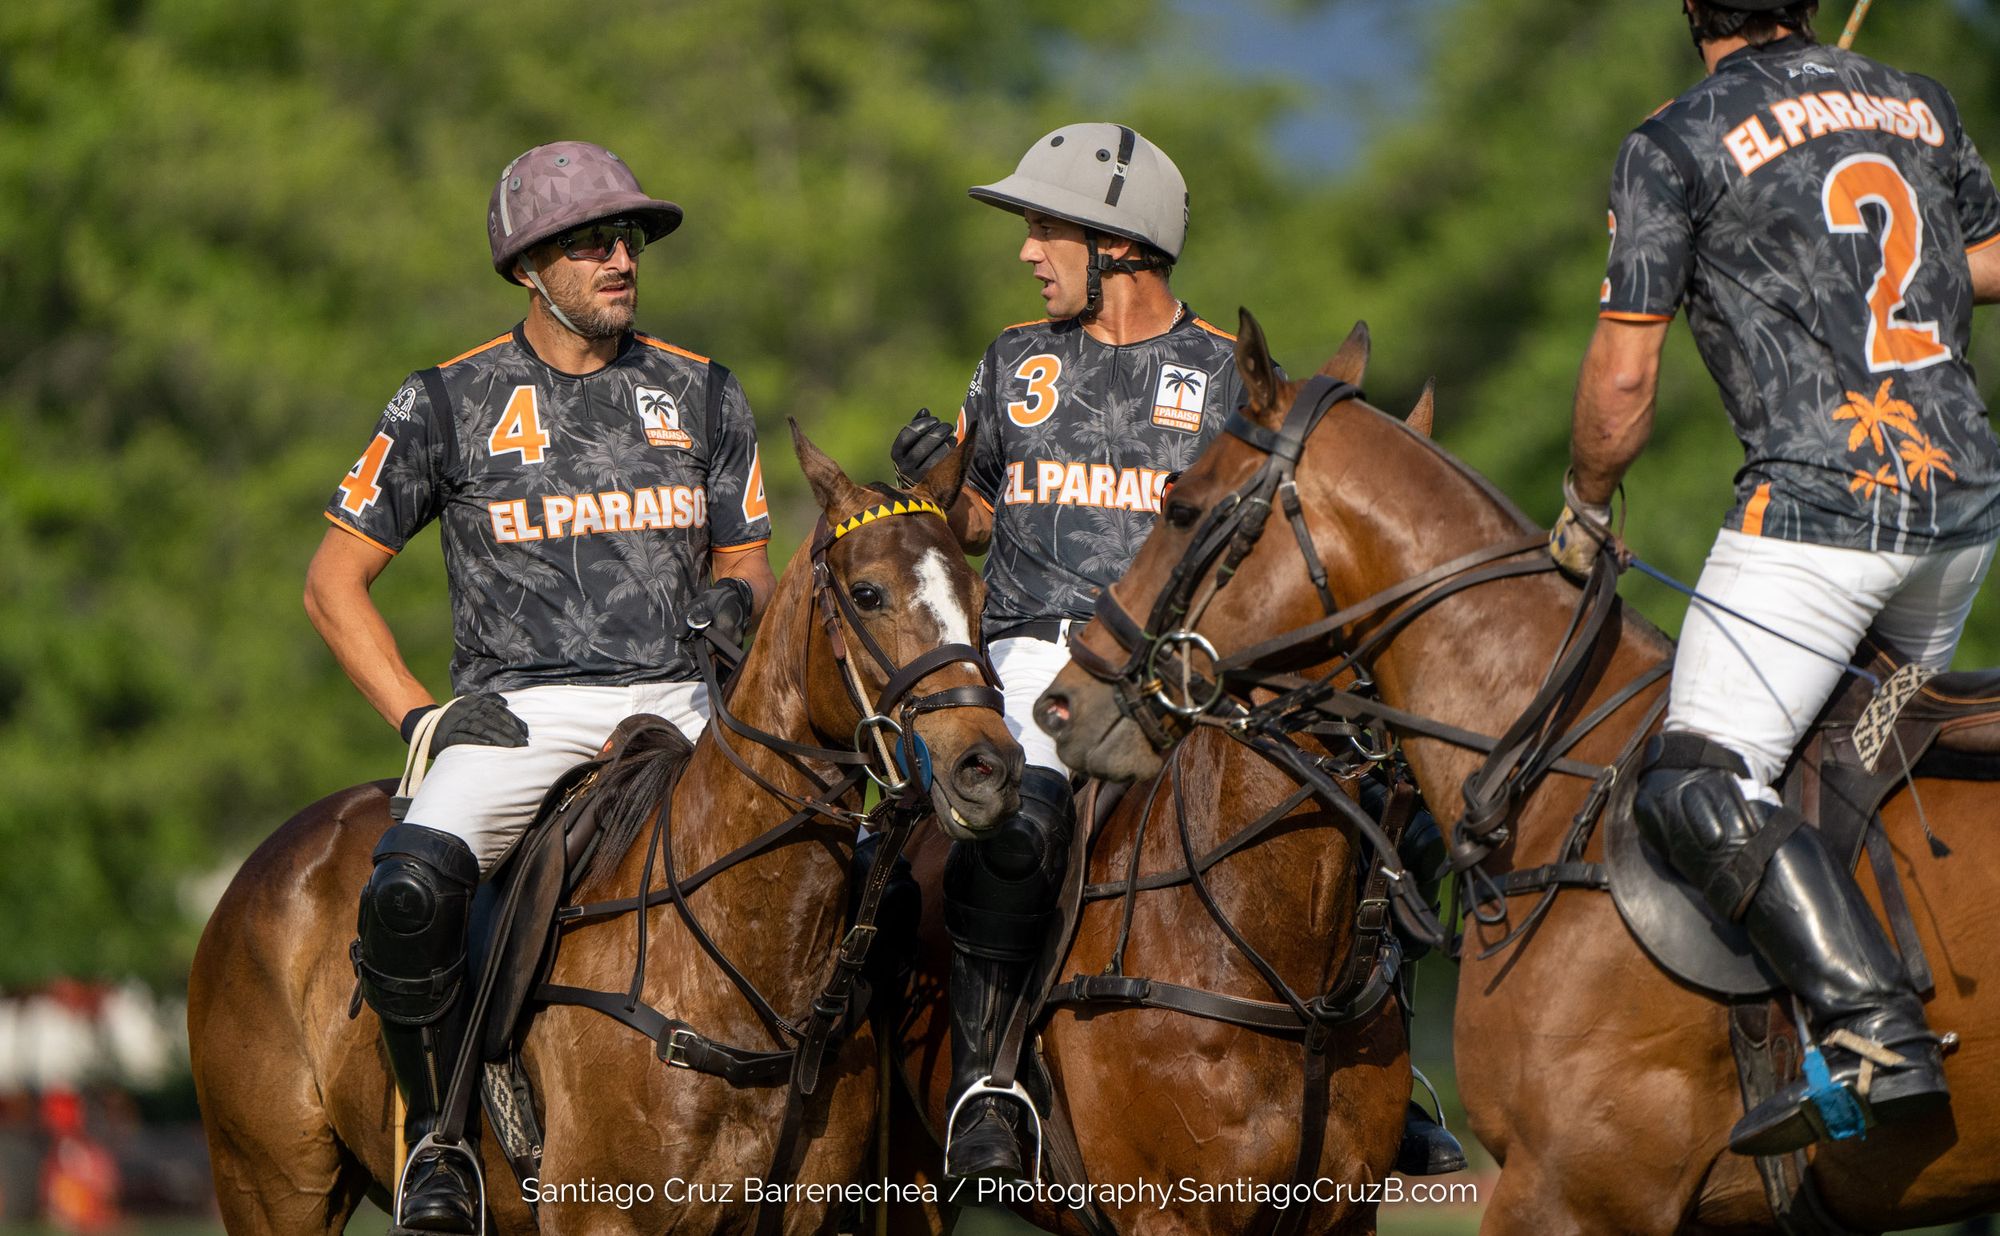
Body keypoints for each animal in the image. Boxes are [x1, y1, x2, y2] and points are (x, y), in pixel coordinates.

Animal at [188, 424, 1023, 1235]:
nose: (987, 766)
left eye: (981, 595)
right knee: (413, 890)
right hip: (270, 1184)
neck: (738, 960)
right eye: (868, 592)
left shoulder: (799, 1216)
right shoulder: (598, 1212)